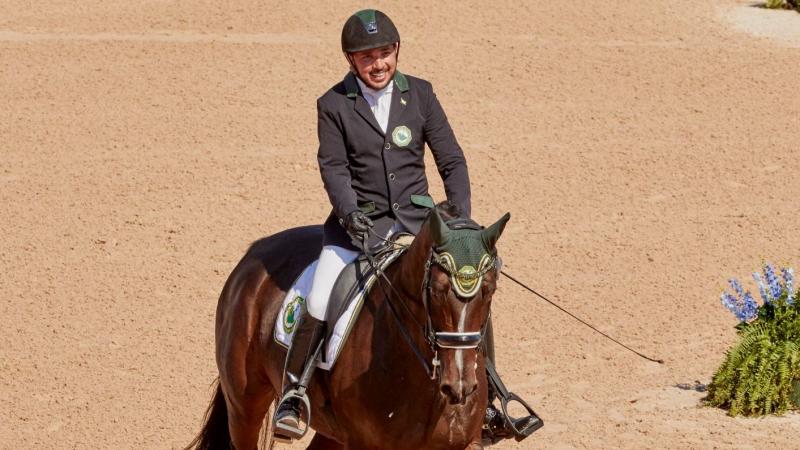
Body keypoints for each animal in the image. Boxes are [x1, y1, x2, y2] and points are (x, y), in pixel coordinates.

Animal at [189, 205, 506, 450]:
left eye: (489, 290)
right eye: (438, 290)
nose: (459, 387)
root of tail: (255, 251)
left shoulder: (464, 443)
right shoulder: (363, 442)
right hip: (244, 403)